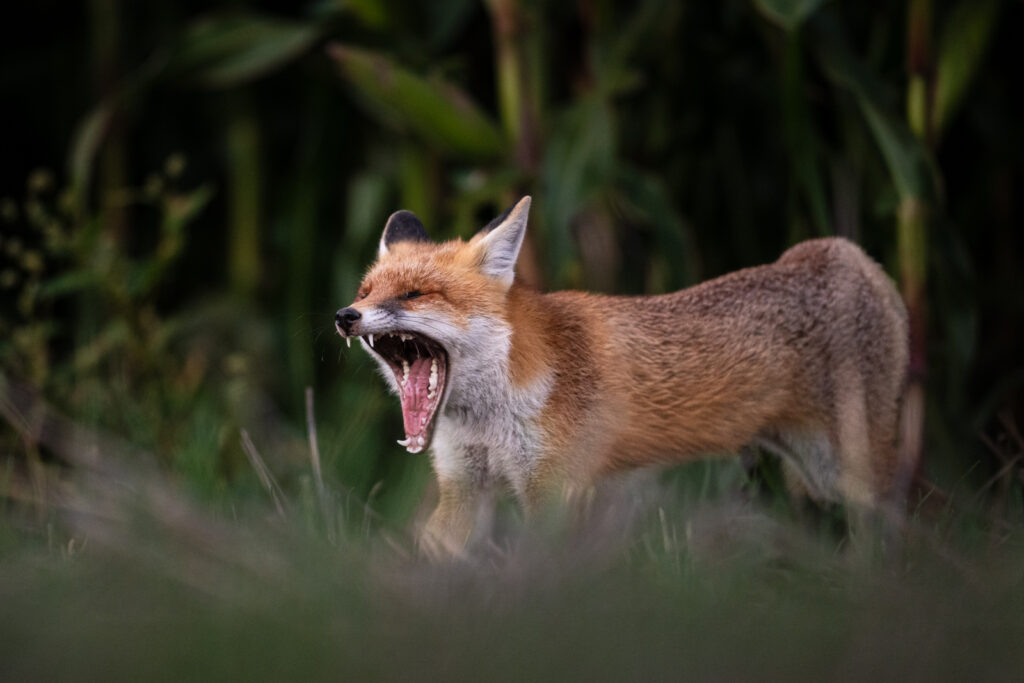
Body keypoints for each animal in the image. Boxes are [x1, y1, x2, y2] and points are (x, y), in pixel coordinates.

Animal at [335, 196, 912, 555]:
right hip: (819, 473)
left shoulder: (554, 490)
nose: (345, 315)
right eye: (366, 291)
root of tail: (838, 254)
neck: (490, 418)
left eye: (415, 294)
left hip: (850, 472)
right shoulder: (462, 490)